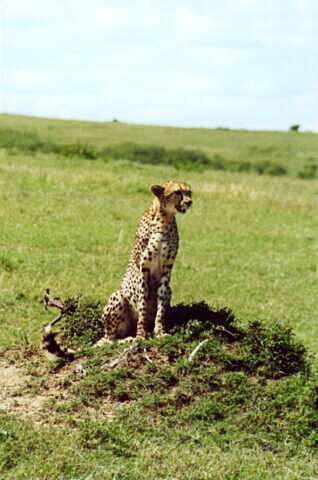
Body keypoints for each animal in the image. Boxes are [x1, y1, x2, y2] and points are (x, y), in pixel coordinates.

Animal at [98, 182, 193, 344]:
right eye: (177, 192)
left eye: (189, 192)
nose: (189, 202)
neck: (165, 218)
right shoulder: (143, 269)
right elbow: (142, 304)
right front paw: (141, 335)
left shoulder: (167, 270)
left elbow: (161, 307)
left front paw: (159, 332)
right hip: (118, 296)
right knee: (110, 339)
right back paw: (128, 339)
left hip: (170, 290)